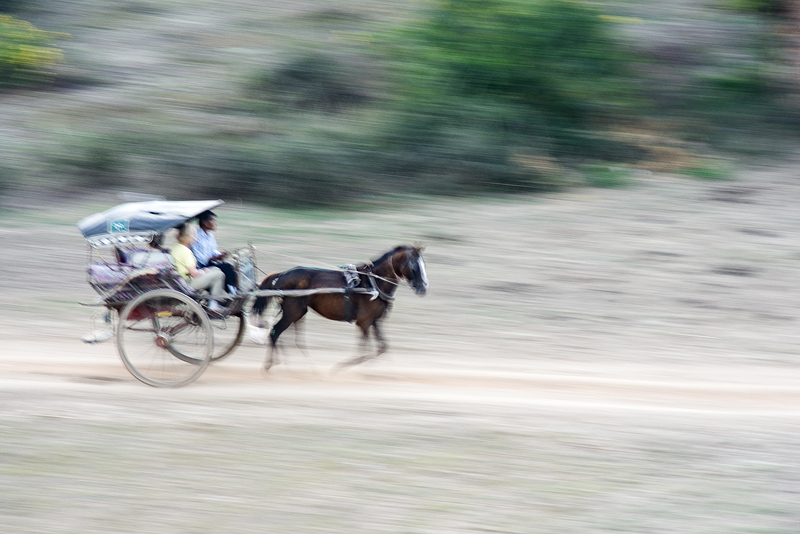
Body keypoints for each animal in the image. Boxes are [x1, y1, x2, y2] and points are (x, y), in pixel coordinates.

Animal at [253, 246, 428, 372]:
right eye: (414, 266)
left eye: (423, 265)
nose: (423, 288)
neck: (373, 283)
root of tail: (282, 275)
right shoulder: (364, 322)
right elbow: (363, 350)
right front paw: (342, 368)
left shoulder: (374, 321)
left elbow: (382, 348)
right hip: (292, 311)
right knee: (275, 333)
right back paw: (270, 367)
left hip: (297, 312)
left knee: (288, 337)